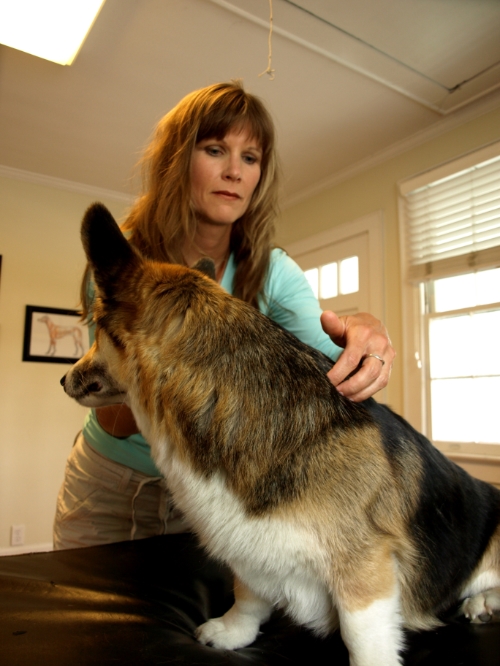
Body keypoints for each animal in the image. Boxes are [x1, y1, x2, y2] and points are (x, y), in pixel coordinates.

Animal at [61, 204, 500, 664]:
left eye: (96, 329)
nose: (62, 379)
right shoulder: (251, 549)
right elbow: (248, 596)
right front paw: (232, 632)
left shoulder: (366, 570)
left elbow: (363, 640)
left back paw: (481, 602)